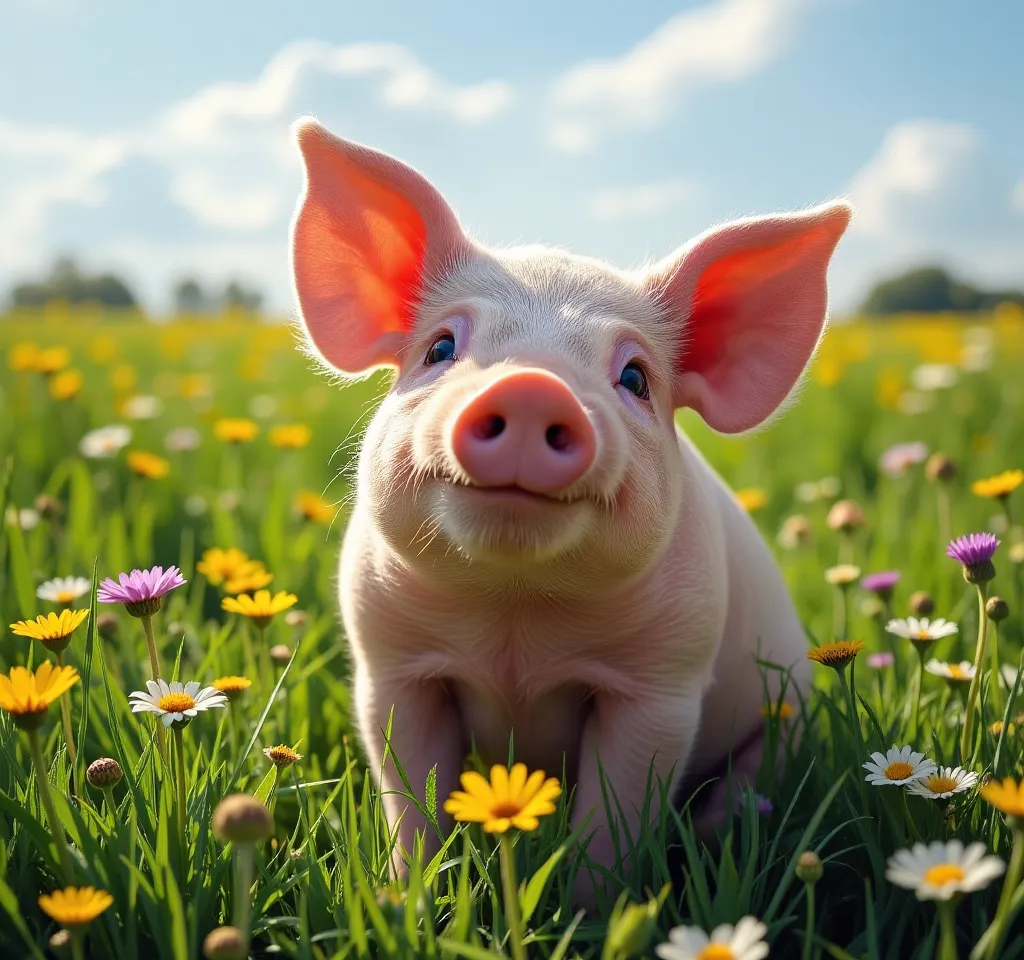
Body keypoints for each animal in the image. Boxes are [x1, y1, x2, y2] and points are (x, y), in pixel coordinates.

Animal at [292, 116, 851, 900]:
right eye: (440, 347)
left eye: (635, 378)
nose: (531, 386)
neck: (514, 616)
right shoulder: (390, 663)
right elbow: (413, 799)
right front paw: (411, 899)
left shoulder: (663, 684)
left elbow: (612, 822)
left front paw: (592, 911)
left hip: (785, 722)